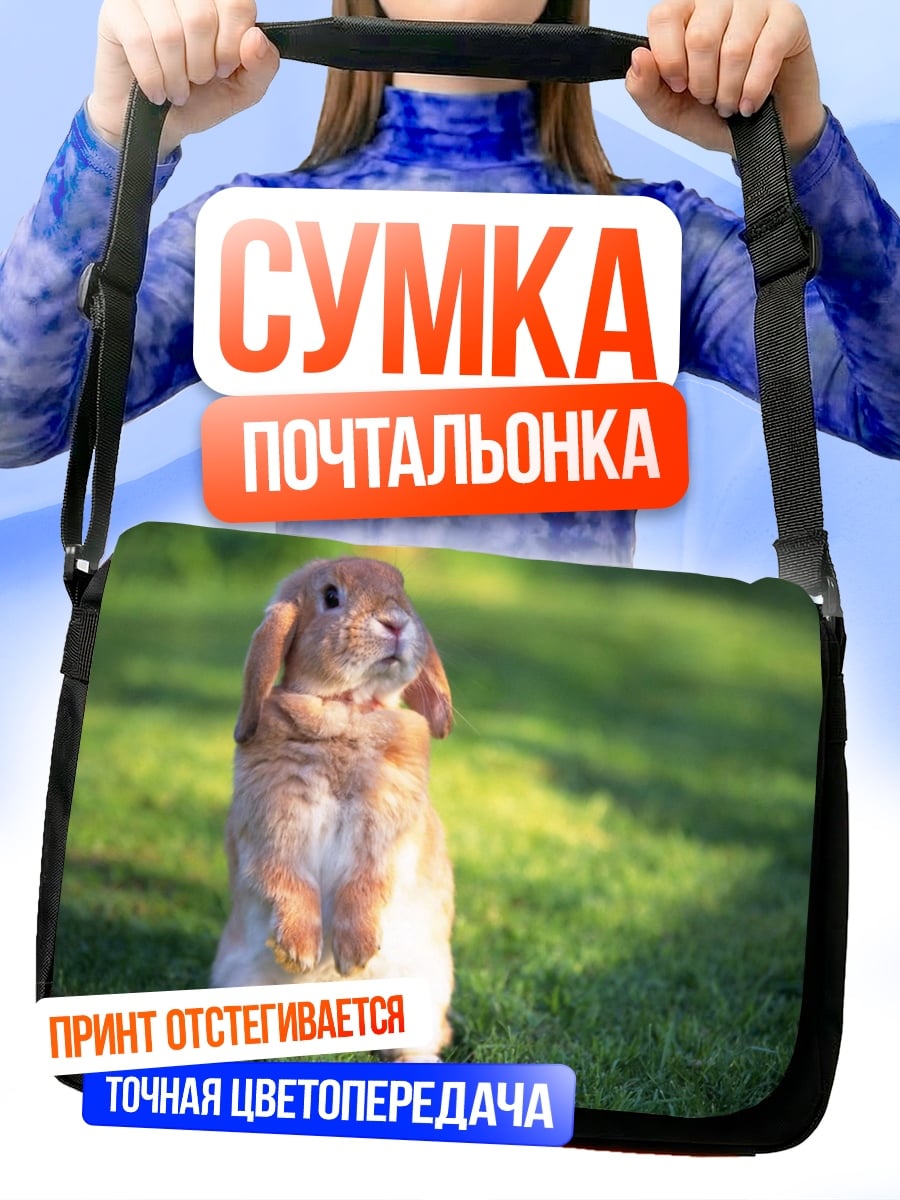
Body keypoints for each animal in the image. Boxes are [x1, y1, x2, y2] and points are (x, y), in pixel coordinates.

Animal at [210, 556, 455, 1061]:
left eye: (401, 587)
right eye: (330, 597)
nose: (396, 622)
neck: (347, 709)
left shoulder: (384, 836)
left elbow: (364, 885)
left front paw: (356, 954)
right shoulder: (273, 828)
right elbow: (288, 881)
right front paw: (300, 952)